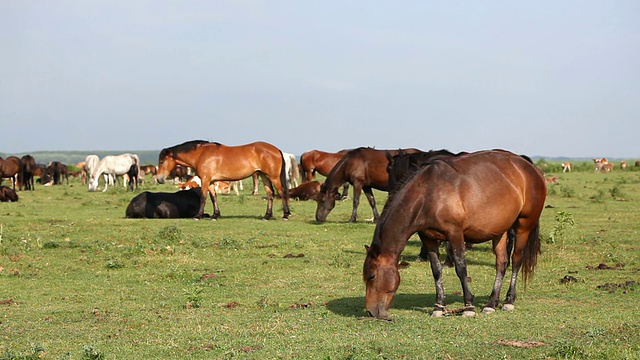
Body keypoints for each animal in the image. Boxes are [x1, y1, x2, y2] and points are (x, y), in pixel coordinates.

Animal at [156, 140, 292, 219]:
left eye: (162, 161)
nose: (159, 179)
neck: (201, 154)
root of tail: (277, 150)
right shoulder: (210, 181)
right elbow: (213, 198)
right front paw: (215, 215)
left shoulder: (205, 180)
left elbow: (203, 197)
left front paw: (198, 215)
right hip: (264, 175)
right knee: (270, 194)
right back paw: (267, 216)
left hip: (274, 177)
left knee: (282, 192)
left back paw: (285, 215)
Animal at [362, 149, 548, 318]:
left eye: (372, 276)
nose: (370, 312)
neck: (428, 193)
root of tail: (532, 169)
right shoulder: (428, 237)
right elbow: (436, 270)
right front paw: (439, 307)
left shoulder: (455, 234)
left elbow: (461, 268)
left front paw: (468, 307)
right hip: (499, 231)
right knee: (501, 263)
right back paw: (491, 303)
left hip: (523, 225)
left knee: (516, 260)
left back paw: (509, 301)